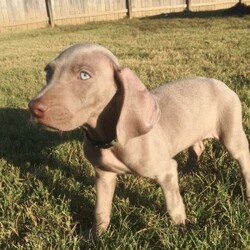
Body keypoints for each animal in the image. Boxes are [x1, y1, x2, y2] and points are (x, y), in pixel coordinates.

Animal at [28, 42, 249, 235]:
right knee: (197, 147)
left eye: (84, 75)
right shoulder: (103, 175)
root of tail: (219, 82)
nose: (33, 108)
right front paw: (95, 235)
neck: (109, 140)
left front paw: (182, 228)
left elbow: (173, 204)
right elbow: (101, 210)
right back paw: (187, 170)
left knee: (243, 159)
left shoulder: (166, 171)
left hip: (232, 134)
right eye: (48, 72)